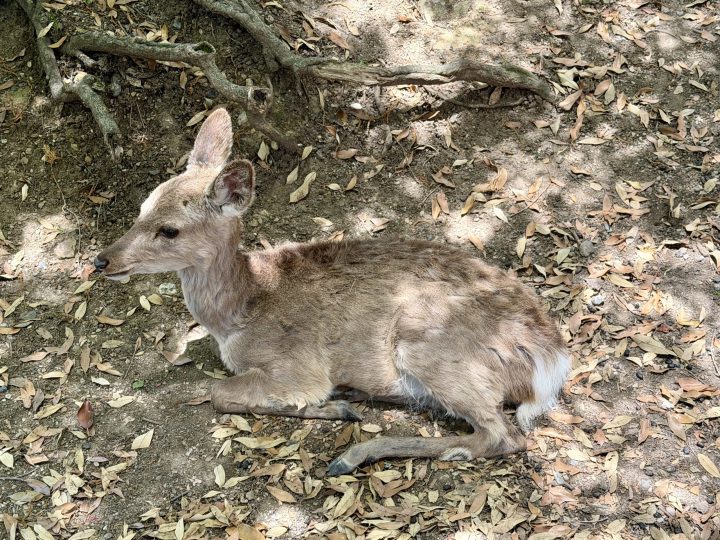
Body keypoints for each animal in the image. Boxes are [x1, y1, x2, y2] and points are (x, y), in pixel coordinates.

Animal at [95, 108, 570, 476]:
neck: (240, 314)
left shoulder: (294, 365)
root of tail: (552, 359)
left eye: (169, 229)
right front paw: (336, 405)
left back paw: (354, 451)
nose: (102, 260)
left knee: (502, 435)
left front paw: (326, 407)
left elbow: (221, 394)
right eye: (142, 207)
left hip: (430, 344)